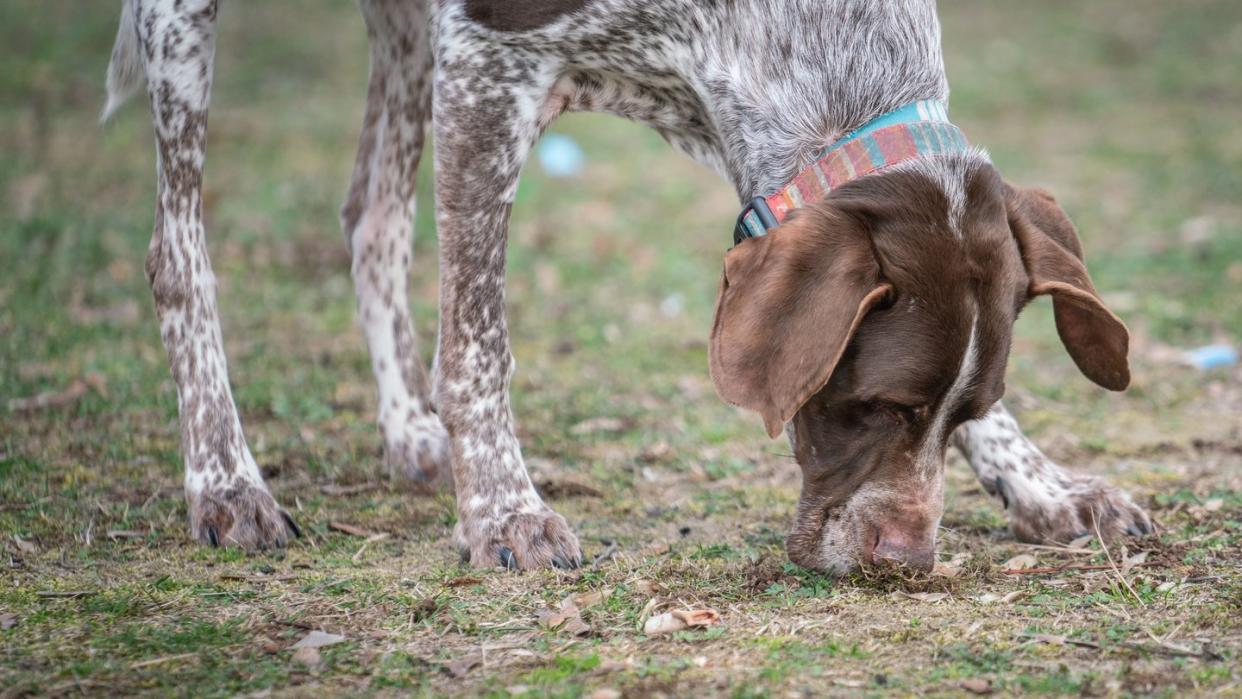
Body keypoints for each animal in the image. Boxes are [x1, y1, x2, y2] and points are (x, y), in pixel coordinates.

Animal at [104, 0, 1152, 573]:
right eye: (877, 405)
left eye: (961, 406)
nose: (908, 561)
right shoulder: (486, 61)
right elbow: (478, 340)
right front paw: (504, 510)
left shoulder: (729, 120)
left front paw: (1043, 482)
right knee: (176, 250)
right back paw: (226, 480)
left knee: (370, 214)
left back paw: (411, 432)